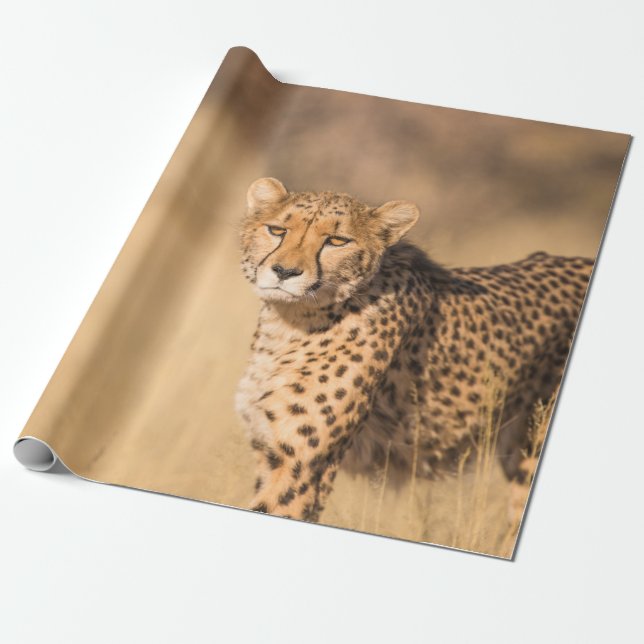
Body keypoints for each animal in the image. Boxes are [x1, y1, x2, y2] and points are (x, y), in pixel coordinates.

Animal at [235, 177, 593, 523]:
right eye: (277, 230)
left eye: (337, 241)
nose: (284, 272)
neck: (291, 322)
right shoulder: (269, 451)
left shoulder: (300, 464)